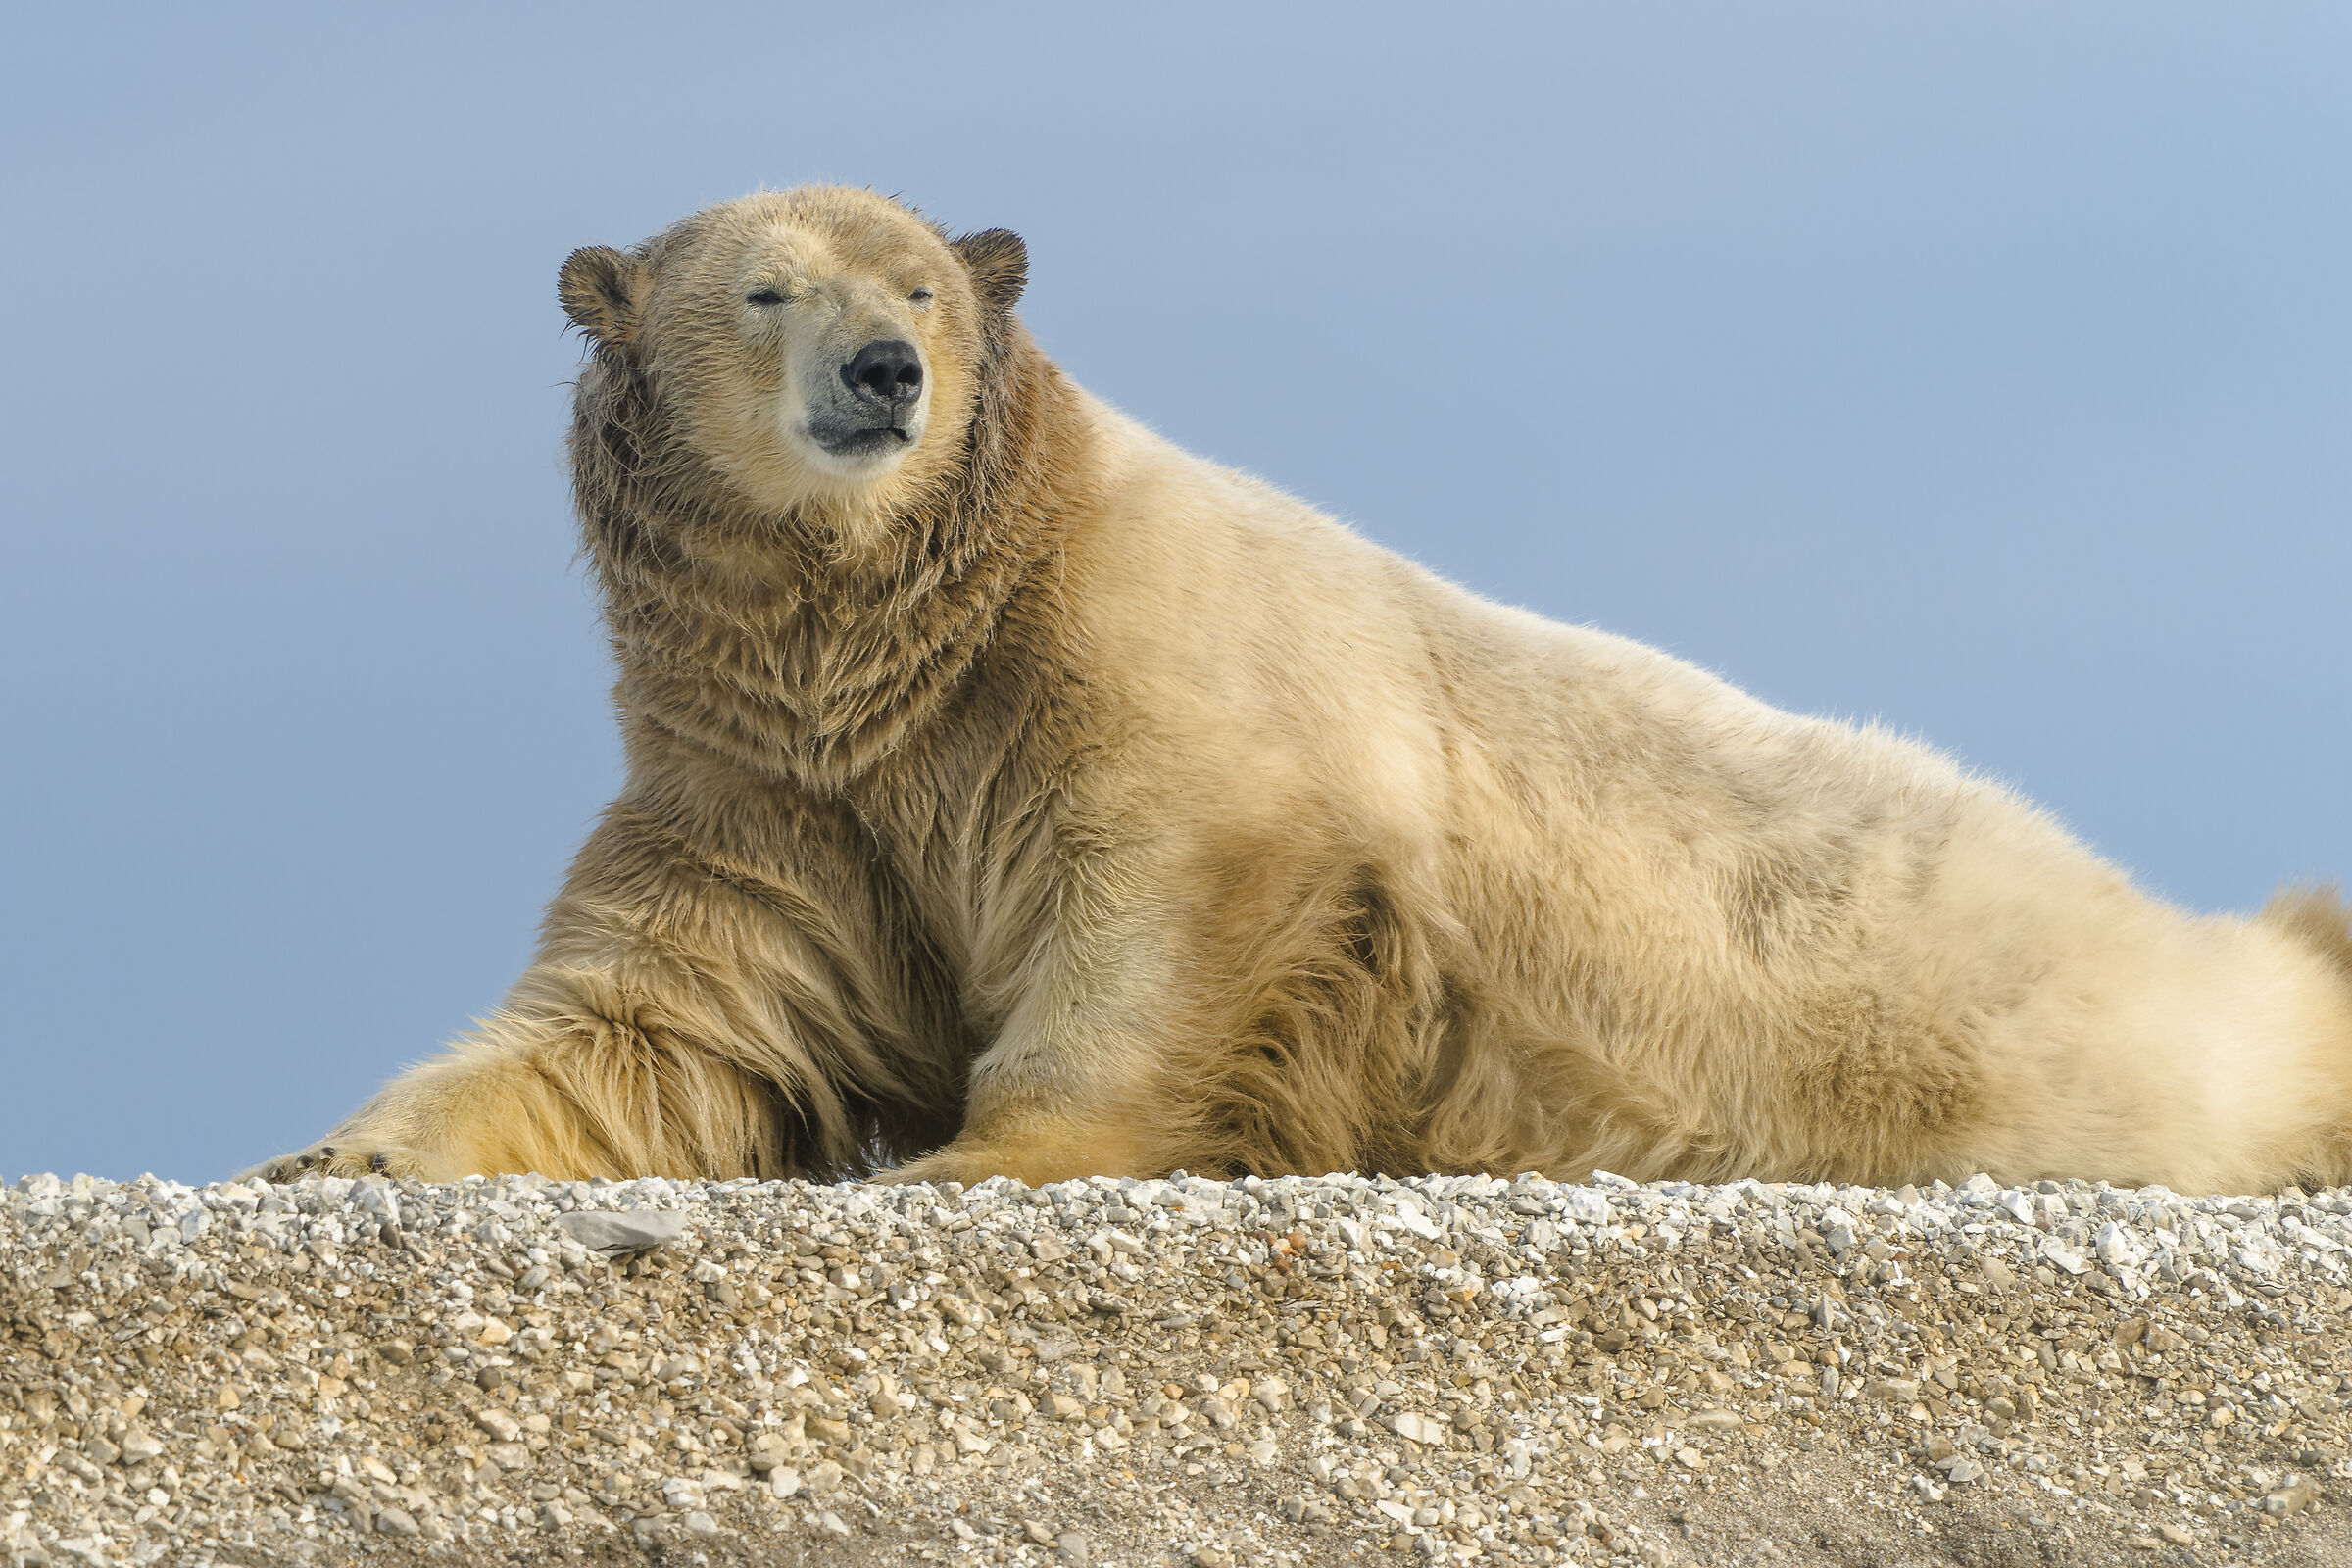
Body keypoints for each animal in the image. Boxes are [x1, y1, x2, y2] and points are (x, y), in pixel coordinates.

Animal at [253, 185, 2352, 1195]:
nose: (881, 375)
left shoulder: (1138, 685)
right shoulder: (781, 790)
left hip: (2013, 1009)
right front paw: (336, 1148)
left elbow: (1164, 904)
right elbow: (661, 1018)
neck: (922, 627)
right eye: (763, 289)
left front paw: (979, 1150)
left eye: (923, 285)